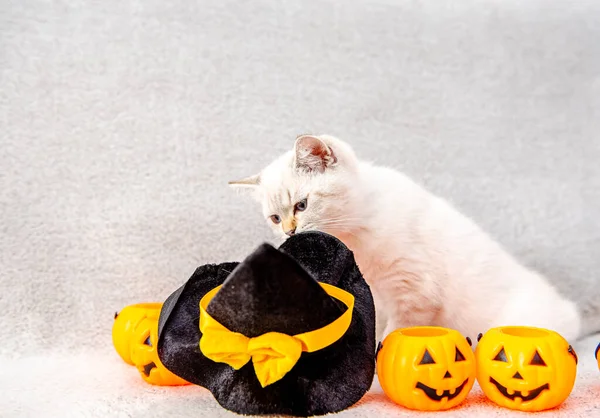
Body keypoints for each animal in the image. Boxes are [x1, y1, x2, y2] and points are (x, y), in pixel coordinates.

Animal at [230, 135, 596, 342]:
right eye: (275, 219)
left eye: (301, 206)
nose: (289, 231)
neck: (356, 233)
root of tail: (571, 313)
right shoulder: (375, 294)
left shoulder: (415, 292)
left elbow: (396, 335)